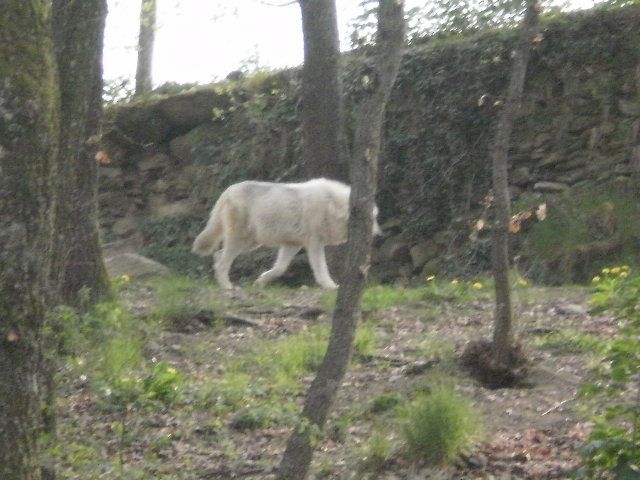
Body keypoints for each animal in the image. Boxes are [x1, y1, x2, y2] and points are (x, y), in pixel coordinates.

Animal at [190, 177, 380, 286]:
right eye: (371, 220)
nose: (377, 235)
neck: (332, 205)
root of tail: (228, 190)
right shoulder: (314, 245)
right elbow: (321, 270)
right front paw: (331, 287)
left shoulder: (293, 245)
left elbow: (279, 269)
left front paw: (261, 281)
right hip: (241, 242)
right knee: (222, 262)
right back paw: (228, 289)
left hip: (250, 243)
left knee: (217, 256)